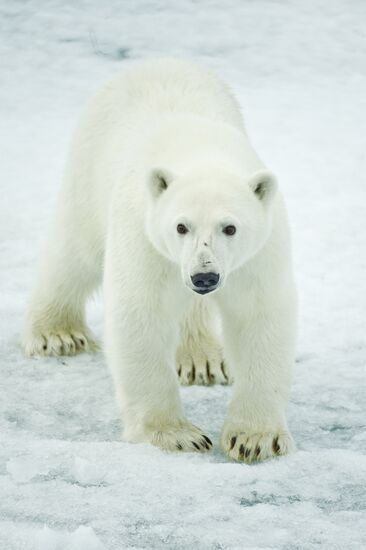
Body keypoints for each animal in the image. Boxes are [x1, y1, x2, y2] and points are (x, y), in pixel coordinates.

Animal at [22, 58, 298, 464]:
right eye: (180, 226)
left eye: (230, 227)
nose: (204, 277)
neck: (201, 154)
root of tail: (156, 61)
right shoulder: (144, 234)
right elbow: (141, 314)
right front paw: (177, 436)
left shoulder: (258, 254)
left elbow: (260, 317)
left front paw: (255, 438)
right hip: (89, 169)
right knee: (74, 252)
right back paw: (56, 334)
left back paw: (202, 359)